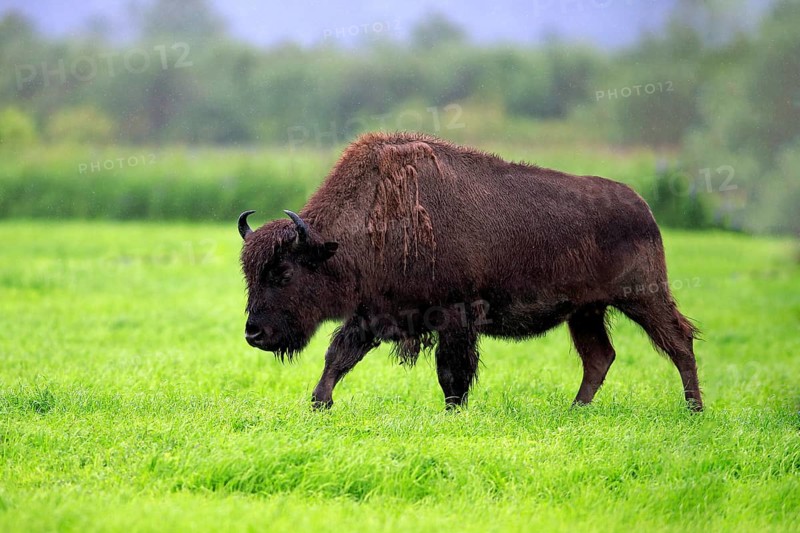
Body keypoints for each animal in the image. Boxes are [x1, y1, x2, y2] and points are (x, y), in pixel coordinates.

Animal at [238, 132, 702, 411]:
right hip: (586, 312)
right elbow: (338, 356)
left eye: (283, 273)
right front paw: (319, 404)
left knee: (678, 342)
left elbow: (452, 373)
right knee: (599, 357)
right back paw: (576, 411)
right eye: (250, 274)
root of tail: (642, 206)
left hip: (644, 296)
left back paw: (693, 409)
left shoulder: (454, 317)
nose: (254, 333)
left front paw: (454, 413)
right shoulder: (373, 312)